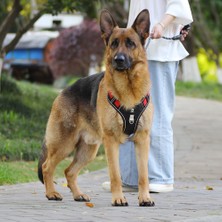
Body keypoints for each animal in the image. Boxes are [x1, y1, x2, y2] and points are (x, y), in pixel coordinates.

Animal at [38, 8, 154, 206]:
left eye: (130, 43)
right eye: (114, 44)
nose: (119, 60)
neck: (129, 89)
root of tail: (64, 90)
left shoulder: (142, 140)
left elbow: (143, 175)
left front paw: (145, 197)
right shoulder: (111, 142)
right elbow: (115, 175)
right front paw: (118, 198)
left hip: (88, 150)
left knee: (69, 171)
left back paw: (78, 195)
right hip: (64, 144)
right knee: (47, 166)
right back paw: (51, 193)